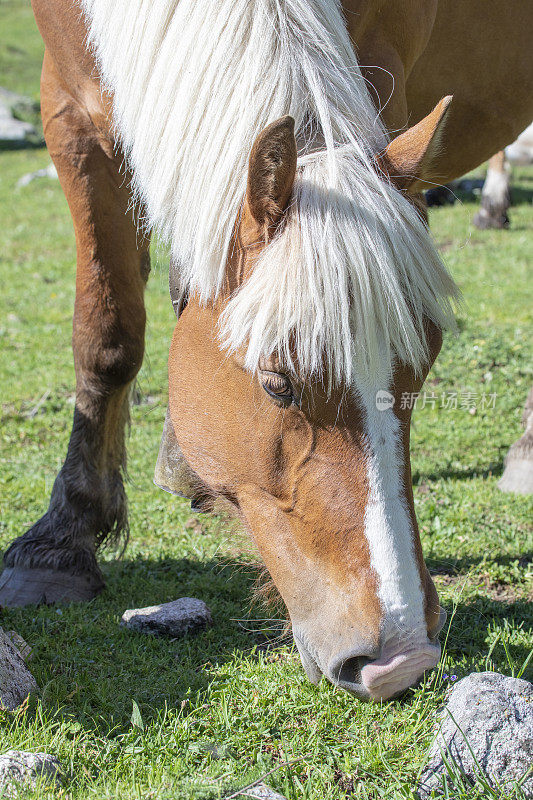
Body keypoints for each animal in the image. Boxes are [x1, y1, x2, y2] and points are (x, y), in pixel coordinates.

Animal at [2, 0, 528, 700]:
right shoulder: (70, 108)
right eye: (279, 384)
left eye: (423, 368)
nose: (401, 659)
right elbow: (108, 333)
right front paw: (60, 543)